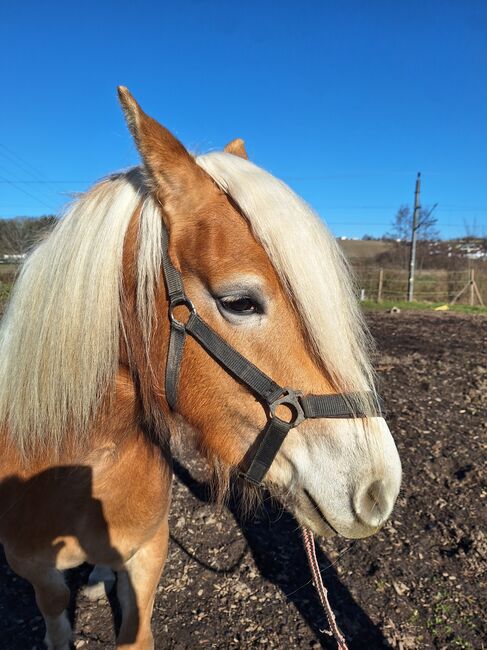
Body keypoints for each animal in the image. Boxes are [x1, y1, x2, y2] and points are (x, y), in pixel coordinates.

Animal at [0, 87, 402, 648]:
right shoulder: (34, 569)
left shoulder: (149, 551)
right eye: (239, 302)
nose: (379, 487)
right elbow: (55, 617)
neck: (73, 461)